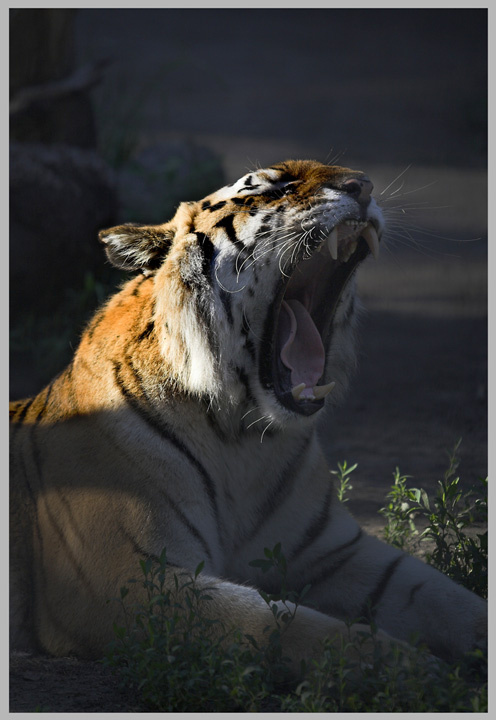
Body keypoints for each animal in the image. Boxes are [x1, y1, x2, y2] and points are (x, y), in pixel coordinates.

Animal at [10, 159, 486, 672]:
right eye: (271, 188)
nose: (363, 185)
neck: (242, 437)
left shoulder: (334, 552)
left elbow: (447, 598)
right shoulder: (123, 578)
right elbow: (283, 624)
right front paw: (412, 670)